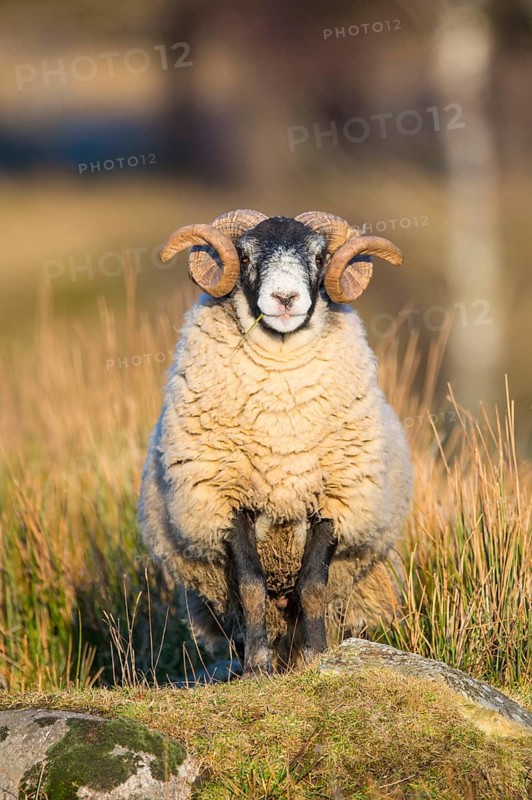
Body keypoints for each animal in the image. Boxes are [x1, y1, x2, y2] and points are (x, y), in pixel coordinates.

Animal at [138, 209, 413, 676]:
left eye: (319, 256)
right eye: (246, 256)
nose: (285, 298)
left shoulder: (334, 500)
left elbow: (314, 585)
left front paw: (317, 657)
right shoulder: (225, 499)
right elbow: (251, 586)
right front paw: (257, 666)